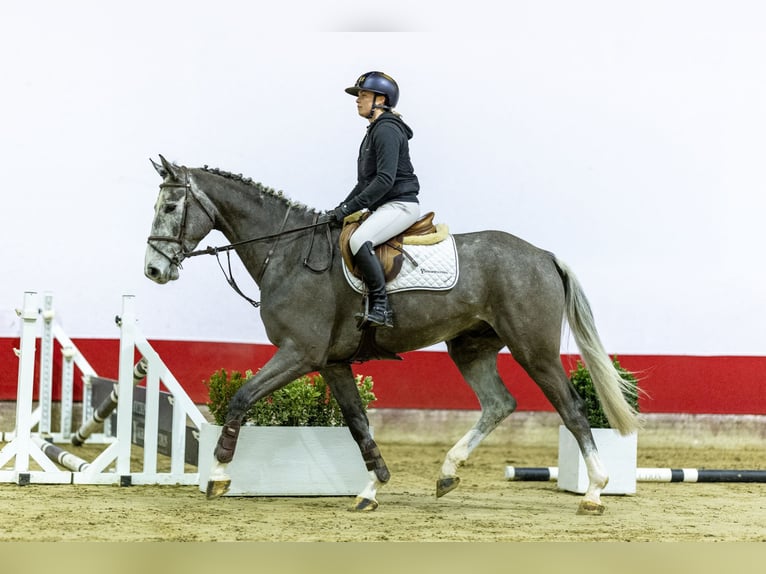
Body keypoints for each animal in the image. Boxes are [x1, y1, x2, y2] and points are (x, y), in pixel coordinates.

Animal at [144, 154, 640, 516]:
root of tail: (542, 254)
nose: (153, 270)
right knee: (499, 403)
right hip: (470, 347)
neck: (286, 251)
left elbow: (242, 398)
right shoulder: (332, 363)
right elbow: (359, 424)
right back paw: (447, 473)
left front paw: (218, 474)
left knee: (572, 409)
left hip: (533, 350)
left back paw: (595, 491)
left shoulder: (299, 353)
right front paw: (372, 487)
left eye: (169, 207)